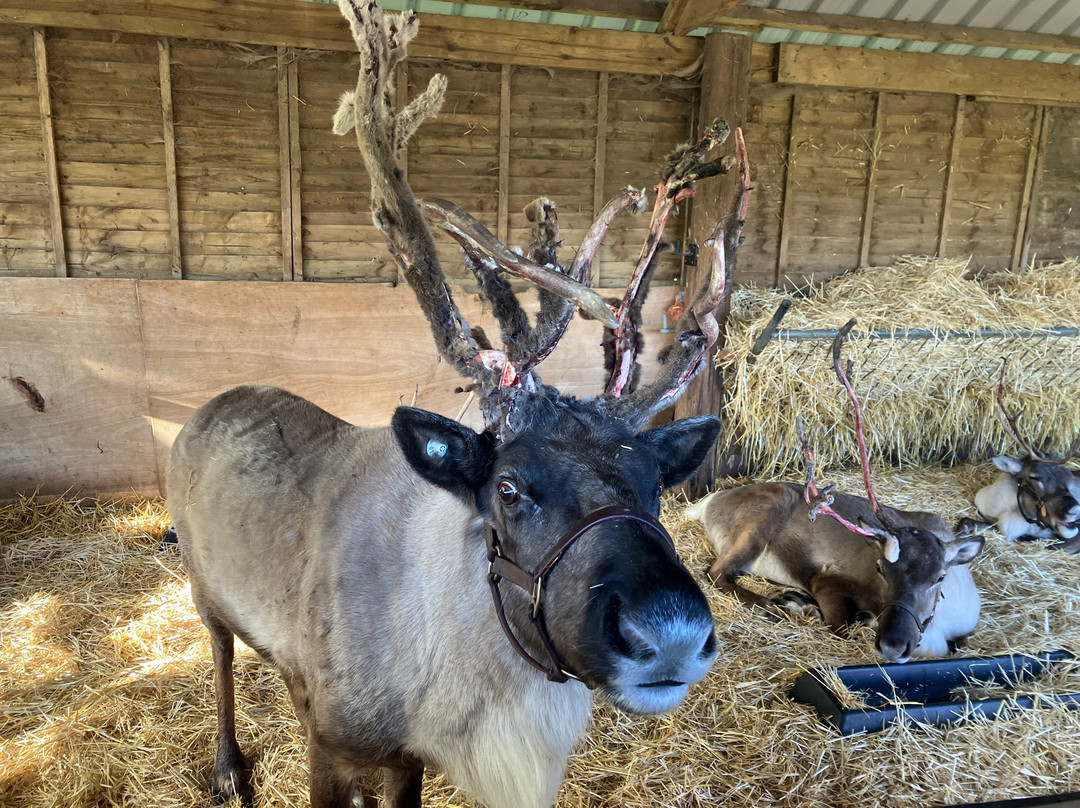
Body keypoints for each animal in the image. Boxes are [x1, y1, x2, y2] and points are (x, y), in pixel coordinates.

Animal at [165, 1, 754, 807]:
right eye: (508, 488)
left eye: (655, 485)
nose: (668, 634)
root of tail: (205, 409)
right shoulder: (330, 748)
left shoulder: (406, 755)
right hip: (202, 582)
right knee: (221, 653)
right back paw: (227, 763)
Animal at [685, 319, 985, 664]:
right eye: (881, 569)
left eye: (939, 577)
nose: (893, 644)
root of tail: (709, 501)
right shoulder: (827, 579)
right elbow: (840, 627)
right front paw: (815, 610)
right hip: (763, 518)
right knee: (716, 572)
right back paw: (779, 604)